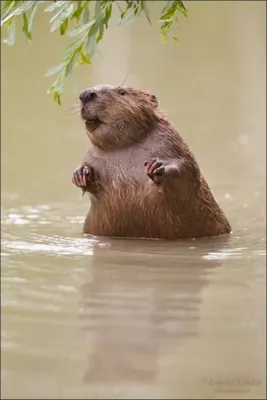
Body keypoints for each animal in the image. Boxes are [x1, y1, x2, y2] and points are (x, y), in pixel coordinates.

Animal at [71, 84, 232, 239]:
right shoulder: (92, 156)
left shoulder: (170, 142)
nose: (86, 94)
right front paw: (81, 174)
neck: (124, 147)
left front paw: (157, 167)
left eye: (122, 91)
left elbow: (187, 169)